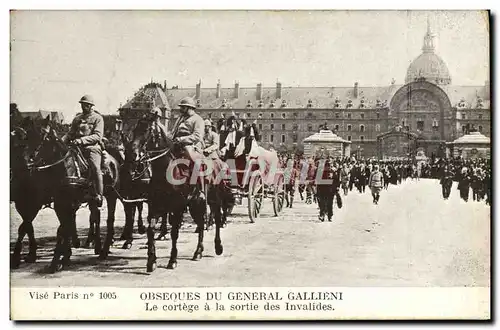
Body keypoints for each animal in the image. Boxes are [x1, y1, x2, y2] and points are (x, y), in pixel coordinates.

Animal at [129, 115, 225, 270]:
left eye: (147, 130)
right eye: (134, 130)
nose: (133, 154)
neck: (166, 170)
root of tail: (217, 163)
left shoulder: (178, 207)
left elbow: (174, 232)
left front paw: (172, 260)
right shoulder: (155, 205)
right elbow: (151, 230)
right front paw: (151, 261)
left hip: (213, 200)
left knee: (216, 220)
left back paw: (218, 247)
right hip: (195, 204)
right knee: (200, 224)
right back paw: (198, 252)